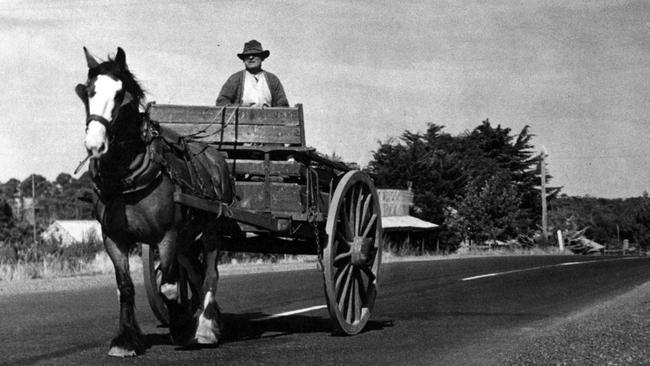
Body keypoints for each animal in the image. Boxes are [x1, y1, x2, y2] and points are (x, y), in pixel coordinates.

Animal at [76, 46, 233, 358]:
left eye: (120, 95)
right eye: (88, 91)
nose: (95, 145)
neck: (126, 180)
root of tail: (215, 156)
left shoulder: (166, 234)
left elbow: (169, 288)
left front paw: (181, 328)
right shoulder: (113, 237)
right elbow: (125, 287)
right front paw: (125, 340)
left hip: (211, 229)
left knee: (210, 274)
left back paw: (206, 327)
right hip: (187, 237)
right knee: (195, 274)